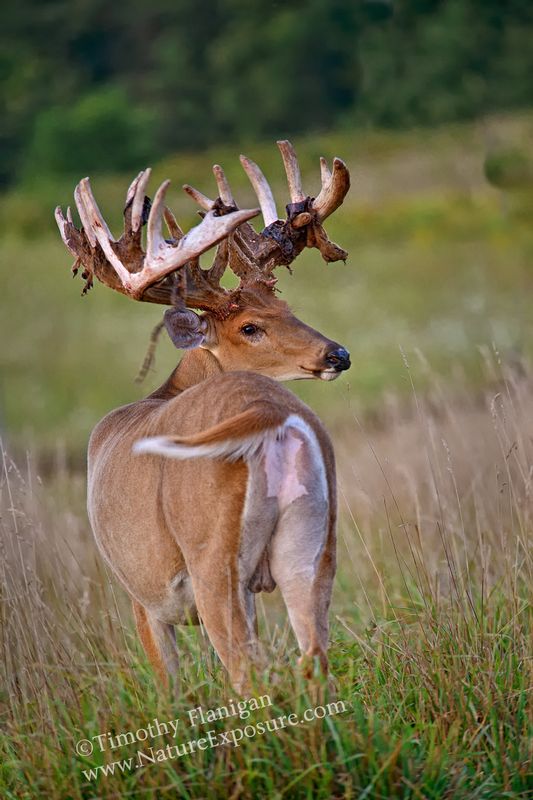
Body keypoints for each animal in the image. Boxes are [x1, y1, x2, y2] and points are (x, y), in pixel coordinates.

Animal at [55, 141, 351, 694]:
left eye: (287, 307)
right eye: (251, 325)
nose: (338, 354)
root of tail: (269, 414)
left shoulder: (143, 594)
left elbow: (168, 687)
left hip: (212, 558)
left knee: (247, 673)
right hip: (315, 544)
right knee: (315, 657)